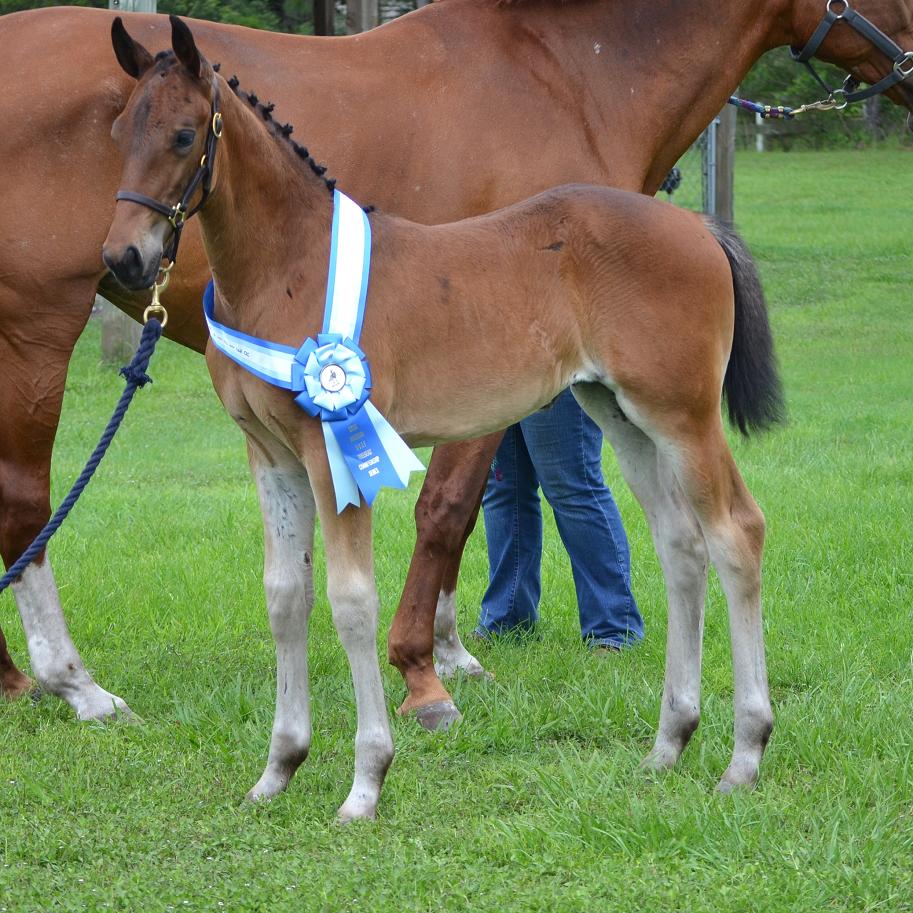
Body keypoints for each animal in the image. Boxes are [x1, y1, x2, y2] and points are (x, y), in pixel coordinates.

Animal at [1, 0, 912, 728]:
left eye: (184, 136)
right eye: (120, 133)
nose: (125, 256)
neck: (570, 73)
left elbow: (464, 507)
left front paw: (441, 655)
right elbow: (443, 509)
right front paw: (423, 671)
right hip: (36, 331)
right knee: (28, 506)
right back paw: (73, 684)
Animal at [101, 19, 784, 820]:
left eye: (183, 136)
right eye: (118, 130)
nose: (124, 256)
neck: (289, 267)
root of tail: (698, 226)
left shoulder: (330, 453)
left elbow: (352, 602)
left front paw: (366, 782)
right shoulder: (270, 456)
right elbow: (285, 598)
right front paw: (278, 770)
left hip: (682, 415)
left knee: (735, 532)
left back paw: (744, 753)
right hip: (621, 415)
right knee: (680, 545)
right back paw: (669, 742)